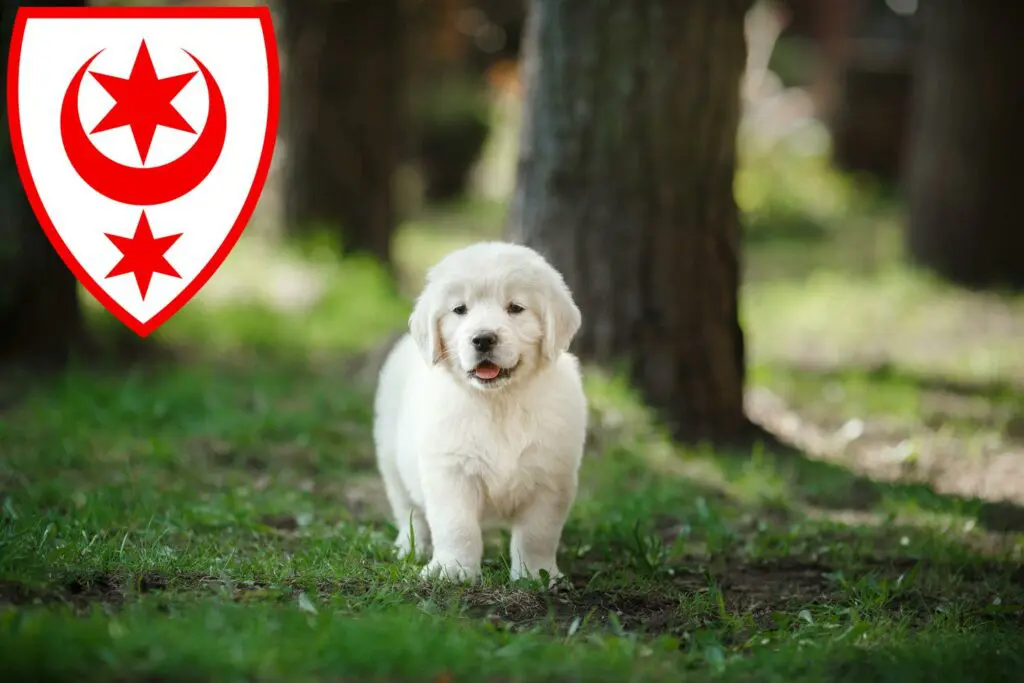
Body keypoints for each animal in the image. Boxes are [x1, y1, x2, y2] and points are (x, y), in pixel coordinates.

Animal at [372, 240, 589, 581]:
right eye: (460, 309)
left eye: (515, 308)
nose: (483, 339)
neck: (498, 403)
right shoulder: (450, 472)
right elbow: (457, 527)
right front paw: (453, 570)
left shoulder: (550, 478)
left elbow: (537, 534)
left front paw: (537, 575)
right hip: (391, 460)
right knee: (409, 512)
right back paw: (411, 549)